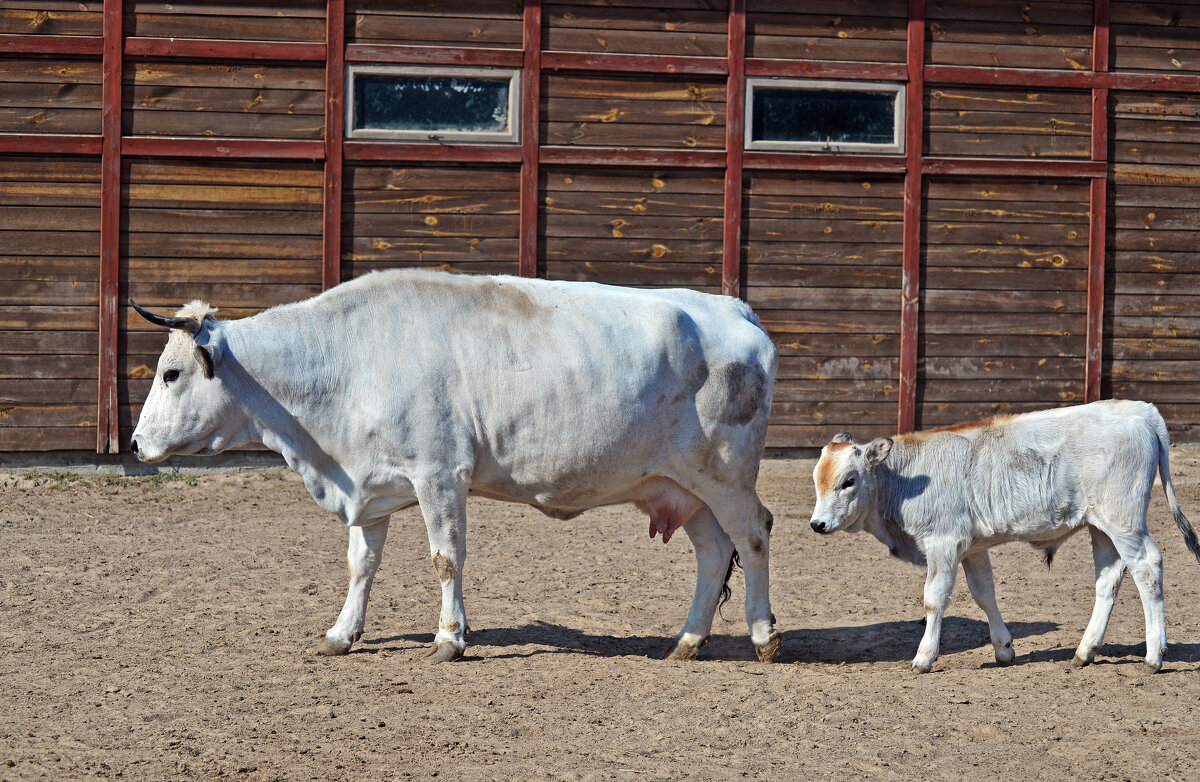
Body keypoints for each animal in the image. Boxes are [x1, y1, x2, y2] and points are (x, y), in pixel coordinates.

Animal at [131, 267, 782, 662]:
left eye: (171, 373)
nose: (136, 443)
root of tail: (734, 309)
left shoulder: (439, 474)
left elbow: (446, 558)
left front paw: (449, 638)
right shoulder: (370, 485)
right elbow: (361, 563)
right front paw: (343, 633)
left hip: (726, 474)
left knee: (752, 534)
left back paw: (763, 634)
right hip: (682, 485)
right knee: (712, 551)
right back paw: (687, 641)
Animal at [806, 400, 1200, 676]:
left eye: (849, 480)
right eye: (816, 480)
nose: (817, 524)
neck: (908, 479)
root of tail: (1141, 410)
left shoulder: (942, 544)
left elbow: (934, 600)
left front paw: (924, 656)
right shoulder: (971, 549)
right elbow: (984, 594)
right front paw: (1003, 649)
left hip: (1124, 522)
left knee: (1148, 568)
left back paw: (1154, 655)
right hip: (1101, 527)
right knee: (1108, 580)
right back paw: (1084, 651)